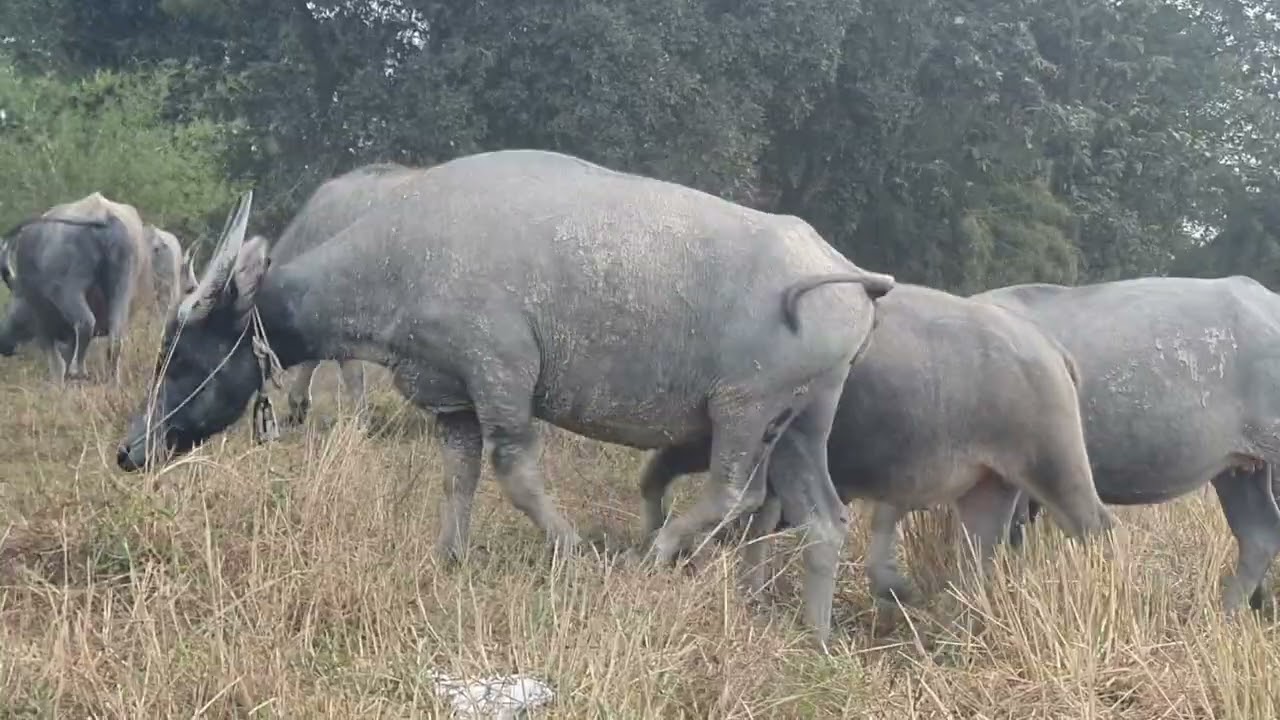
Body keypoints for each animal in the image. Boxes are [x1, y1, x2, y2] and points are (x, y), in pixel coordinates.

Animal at [116, 149, 897, 650]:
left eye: (184, 358)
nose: (130, 451)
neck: (409, 248)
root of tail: (837, 270)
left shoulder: (501, 381)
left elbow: (514, 473)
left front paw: (573, 552)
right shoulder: (455, 404)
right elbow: (458, 479)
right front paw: (449, 557)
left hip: (745, 411)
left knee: (735, 496)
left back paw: (660, 550)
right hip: (799, 424)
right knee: (823, 521)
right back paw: (815, 635)